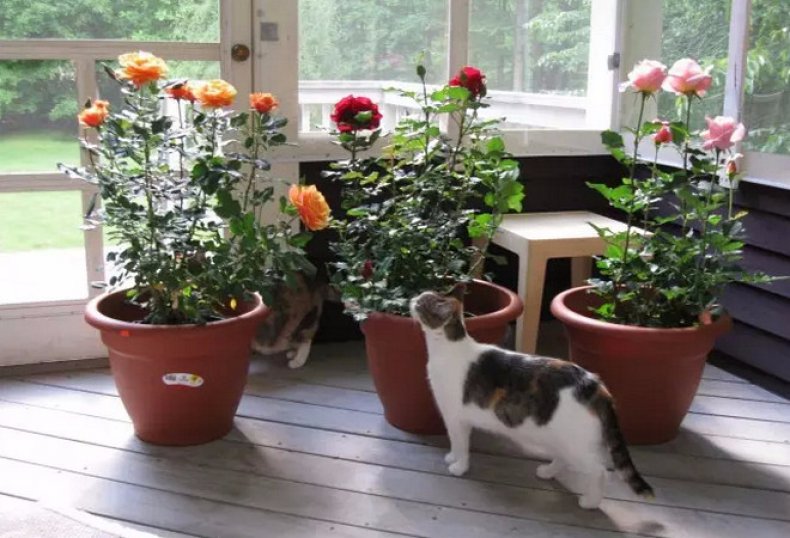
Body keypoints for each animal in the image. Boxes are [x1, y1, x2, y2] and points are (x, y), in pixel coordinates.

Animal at [410, 286, 654, 510]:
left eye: (421, 303)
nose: (412, 298)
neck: (448, 347)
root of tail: (594, 384)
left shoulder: (455, 417)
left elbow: (459, 443)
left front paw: (458, 466)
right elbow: (454, 443)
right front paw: (452, 457)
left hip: (577, 443)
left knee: (599, 471)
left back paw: (590, 502)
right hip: (562, 436)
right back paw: (548, 471)